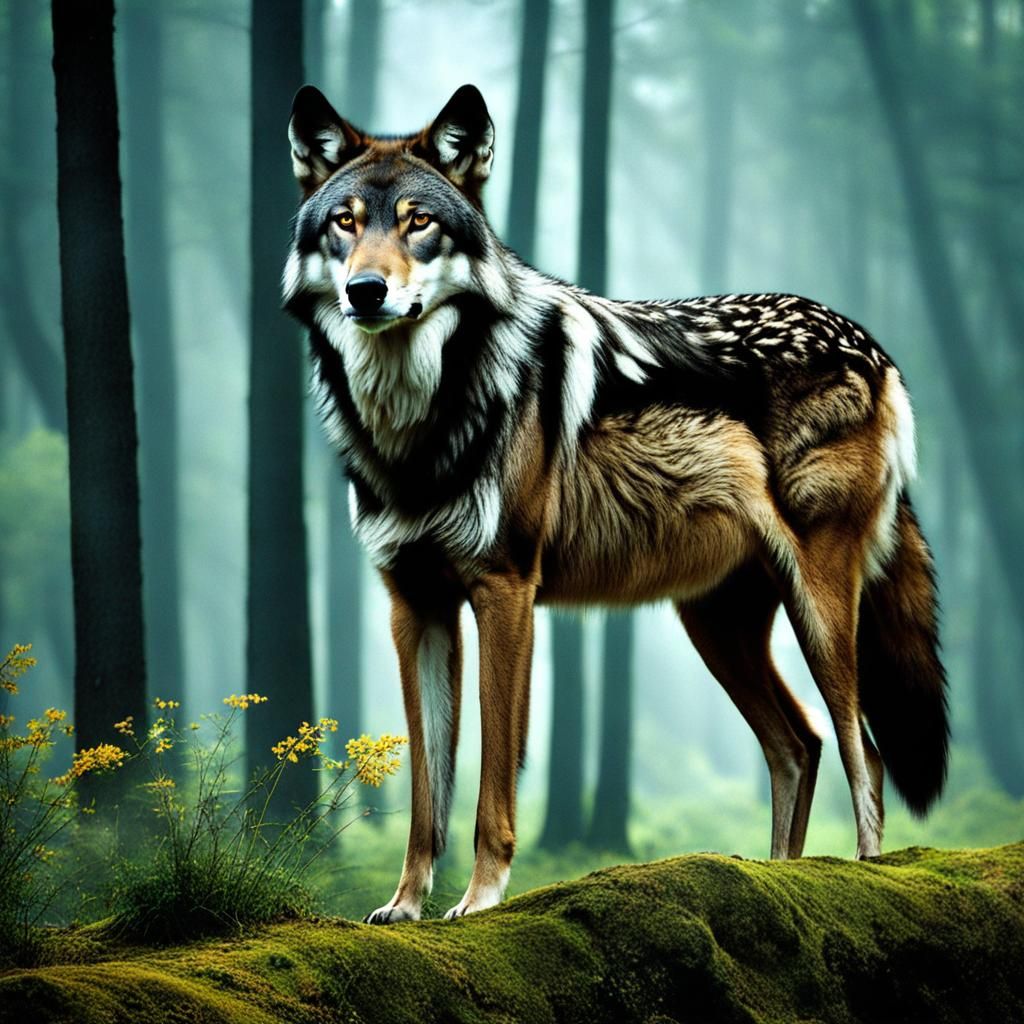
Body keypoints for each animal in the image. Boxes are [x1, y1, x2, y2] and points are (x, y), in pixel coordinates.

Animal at [282, 83, 949, 923]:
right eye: (345, 223)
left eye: (418, 222)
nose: (366, 291)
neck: (418, 422)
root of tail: (876, 345)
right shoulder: (415, 605)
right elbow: (426, 795)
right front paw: (405, 907)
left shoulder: (505, 591)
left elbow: (492, 786)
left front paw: (481, 900)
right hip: (716, 627)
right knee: (800, 744)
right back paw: (777, 881)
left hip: (819, 612)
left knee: (865, 755)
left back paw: (857, 876)